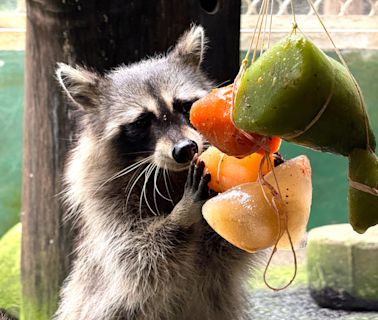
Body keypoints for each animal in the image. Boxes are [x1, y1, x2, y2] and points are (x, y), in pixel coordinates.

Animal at [53, 25, 258, 320]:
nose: (185, 149)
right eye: (141, 123)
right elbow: (138, 257)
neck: (173, 175)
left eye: (185, 106)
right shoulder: (107, 209)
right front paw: (181, 215)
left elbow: (227, 248)